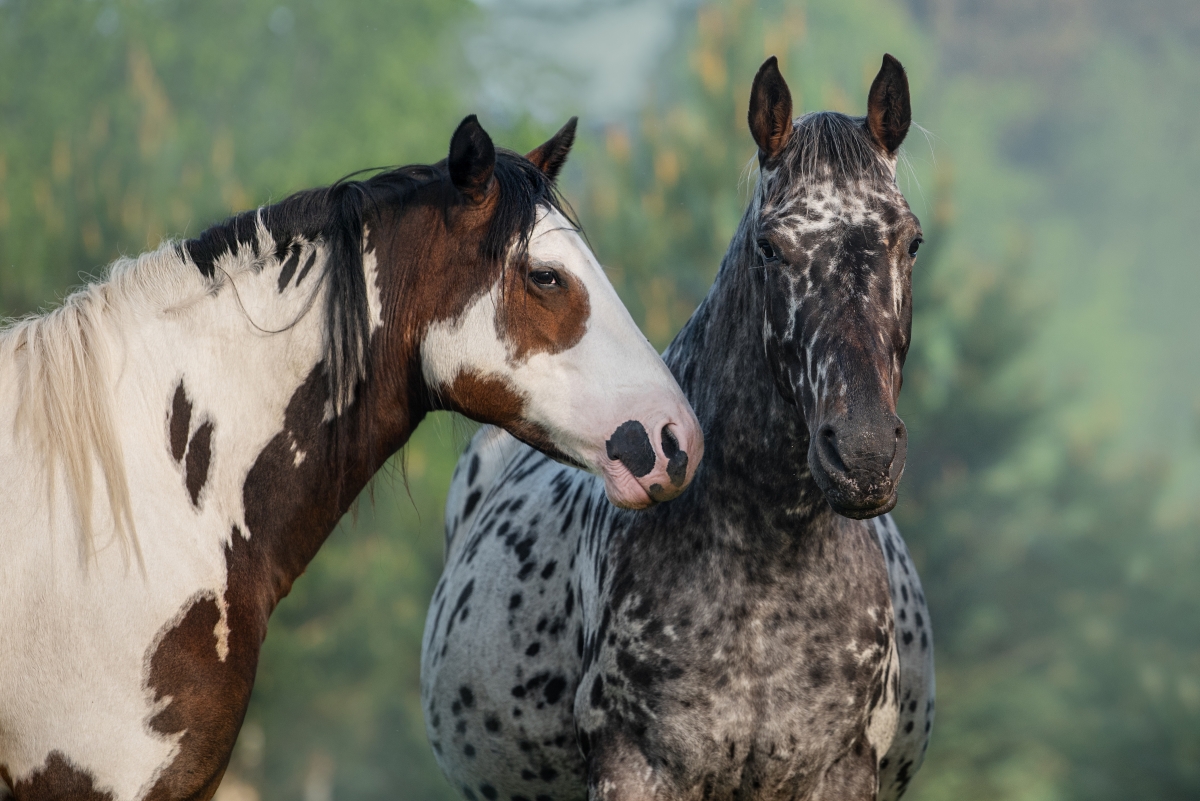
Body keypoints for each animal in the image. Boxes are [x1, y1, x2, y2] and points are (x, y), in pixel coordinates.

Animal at [422, 57, 936, 801]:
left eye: (911, 240)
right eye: (769, 246)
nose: (864, 452)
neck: (765, 564)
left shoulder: (840, 770)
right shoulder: (633, 767)